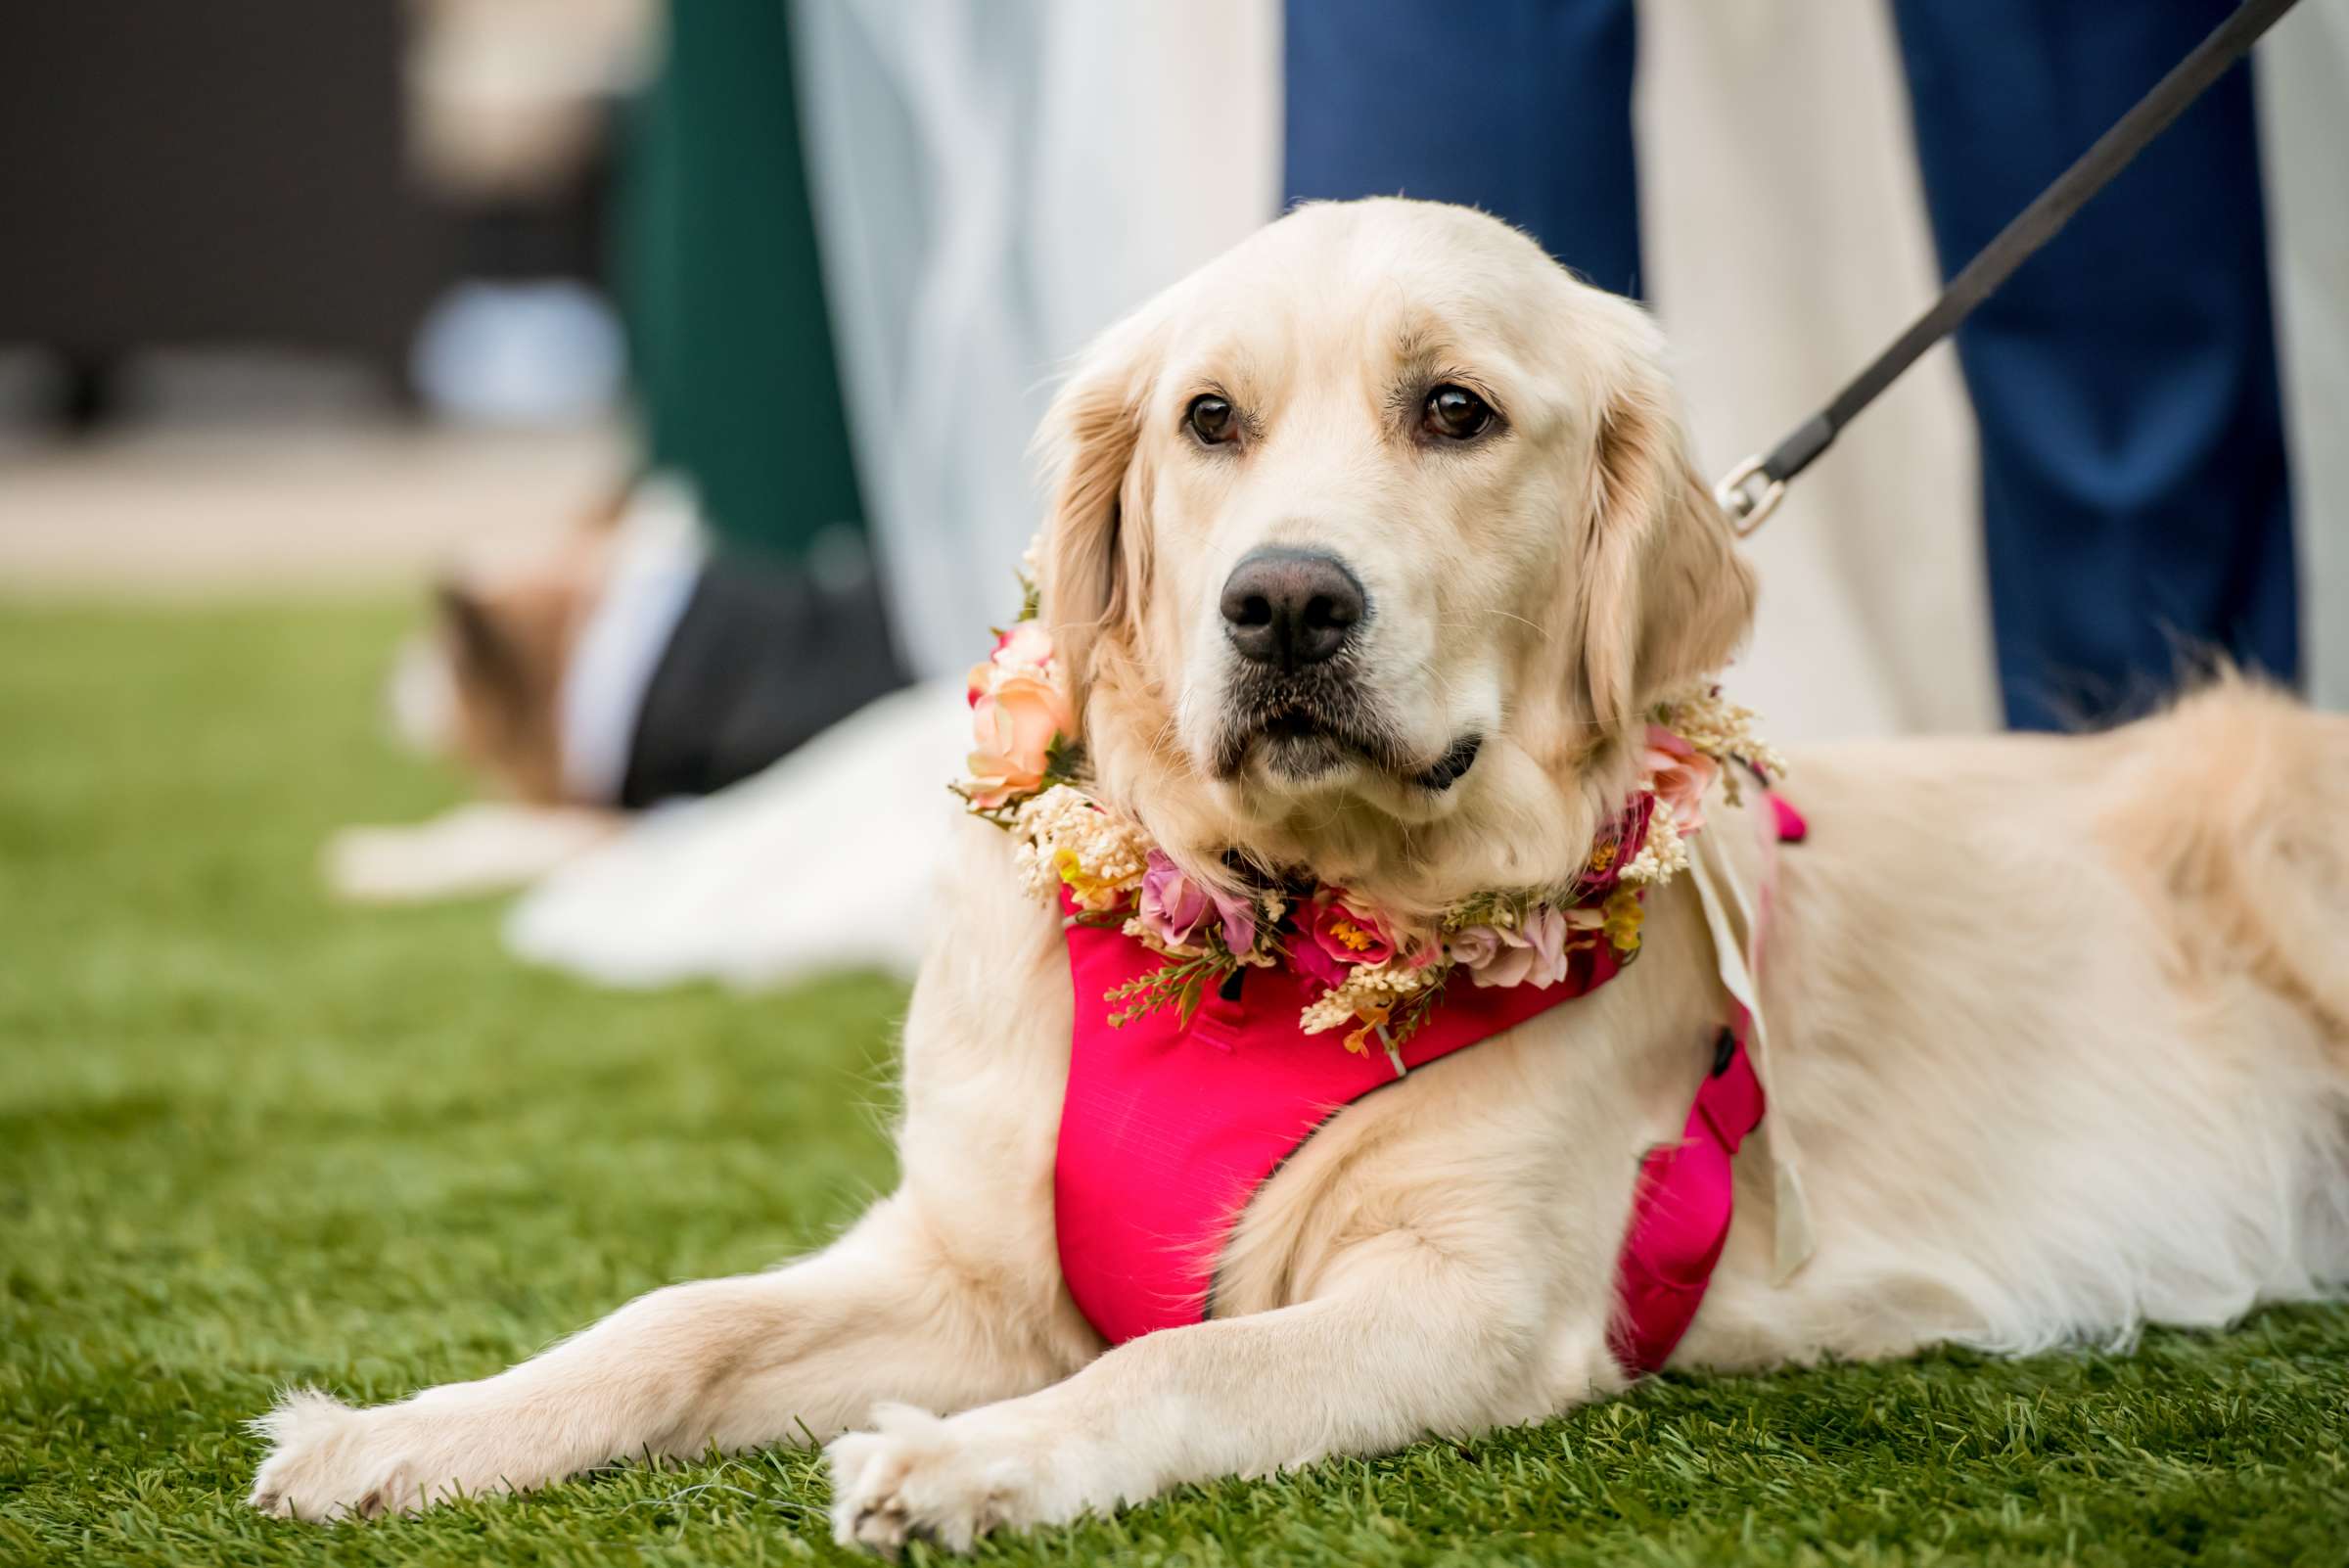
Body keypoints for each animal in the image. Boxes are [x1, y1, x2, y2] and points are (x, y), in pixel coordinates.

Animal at [243, 192, 2349, 1540]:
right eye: (1209, 421)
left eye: (1456, 412)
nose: (1284, 604)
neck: (1277, 931)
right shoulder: (968, 1271)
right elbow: (670, 1323)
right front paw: (410, 1432)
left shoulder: (1469, 1300)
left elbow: (1174, 1372)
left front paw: (975, 1465)